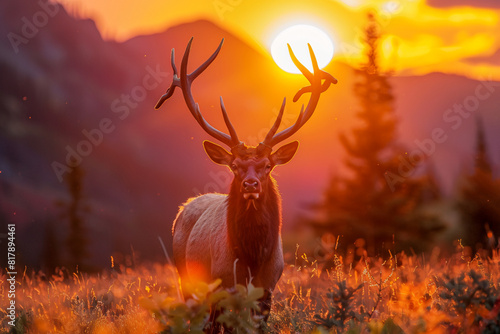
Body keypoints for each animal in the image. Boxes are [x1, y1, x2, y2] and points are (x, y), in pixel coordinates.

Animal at [154, 37, 338, 332]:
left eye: (267, 166)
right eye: (234, 166)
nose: (251, 184)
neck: (252, 259)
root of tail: (185, 207)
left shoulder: (268, 289)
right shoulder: (223, 287)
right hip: (187, 278)